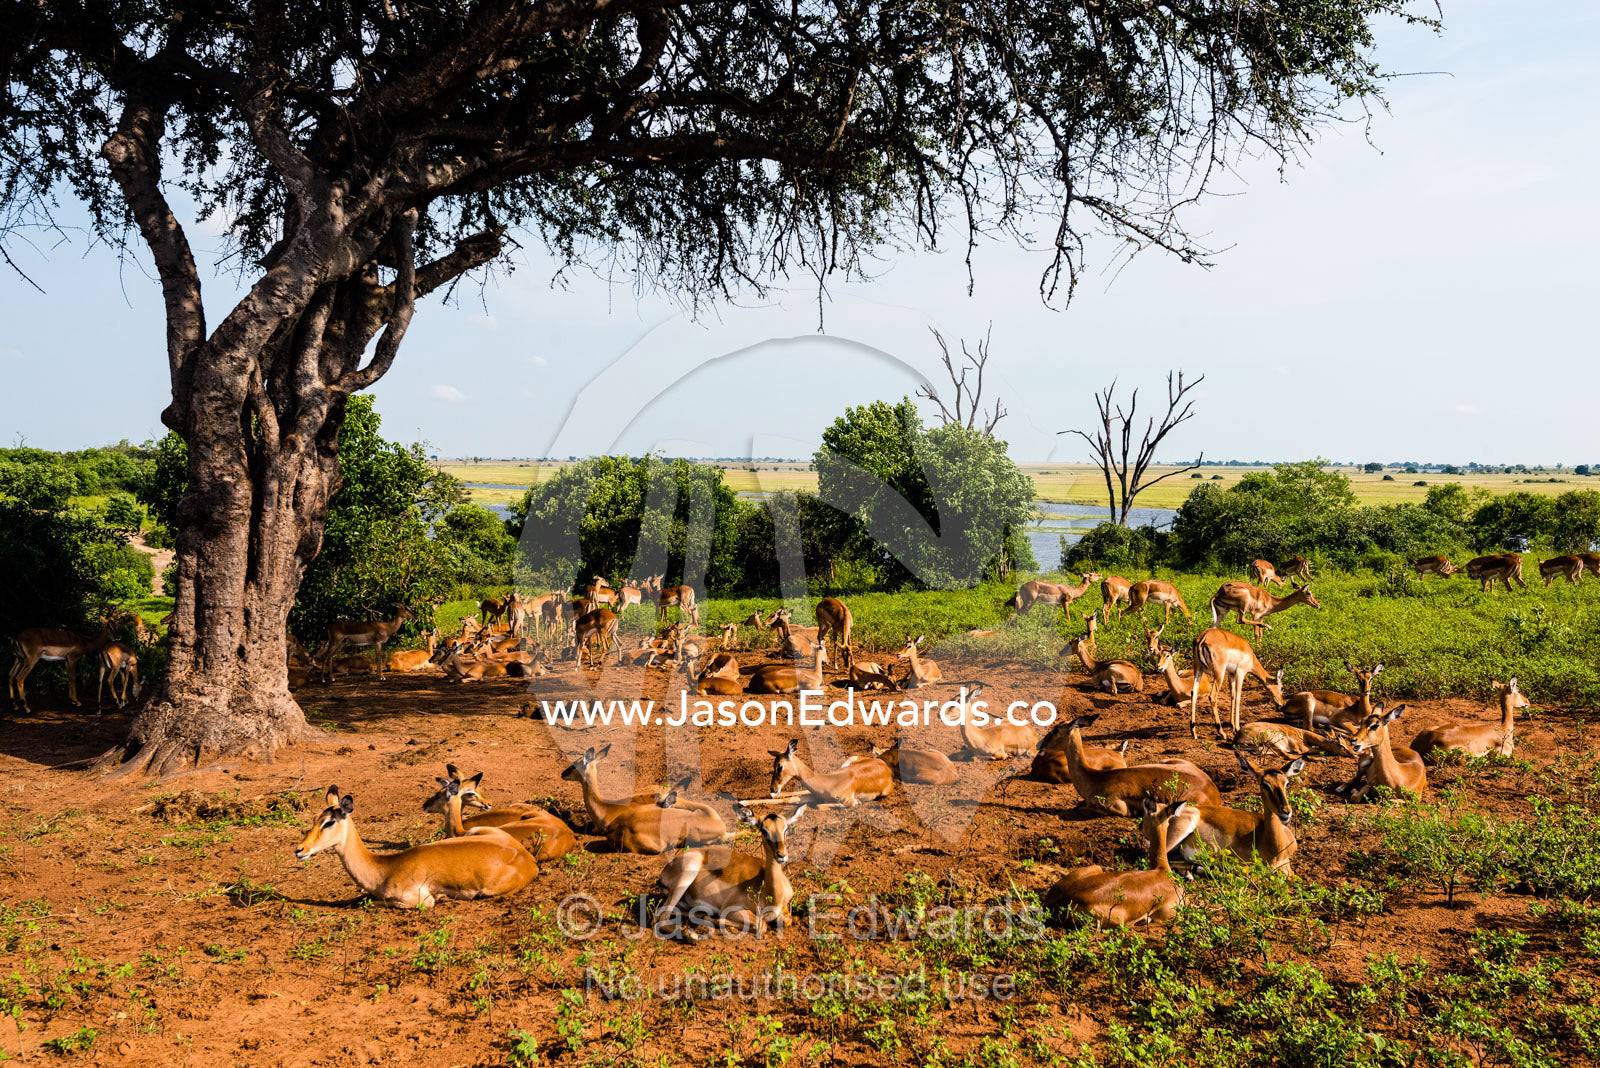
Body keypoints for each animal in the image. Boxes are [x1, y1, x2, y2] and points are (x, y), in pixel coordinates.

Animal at [295, 786, 538, 909]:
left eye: (329, 822)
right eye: (316, 819)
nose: (300, 850)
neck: (384, 870)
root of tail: (529, 860)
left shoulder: (420, 901)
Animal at [654, 804, 807, 940]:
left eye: (786, 829)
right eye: (764, 830)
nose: (781, 855)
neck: (772, 896)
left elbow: (787, 920)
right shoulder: (732, 908)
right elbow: (761, 924)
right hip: (687, 873)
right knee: (660, 918)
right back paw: (691, 934)